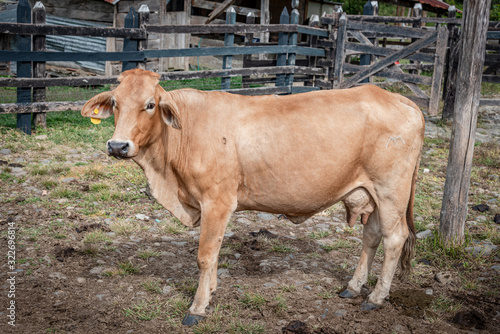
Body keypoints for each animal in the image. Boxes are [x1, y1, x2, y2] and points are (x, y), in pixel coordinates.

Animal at [81, 68, 422, 326]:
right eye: (115, 102)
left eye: (150, 104)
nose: (117, 146)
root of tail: (400, 99)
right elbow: (215, 252)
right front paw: (211, 291)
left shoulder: (217, 201)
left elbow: (205, 255)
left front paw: (197, 308)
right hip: (371, 192)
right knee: (372, 236)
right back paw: (353, 287)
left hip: (391, 190)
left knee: (395, 238)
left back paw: (376, 298)